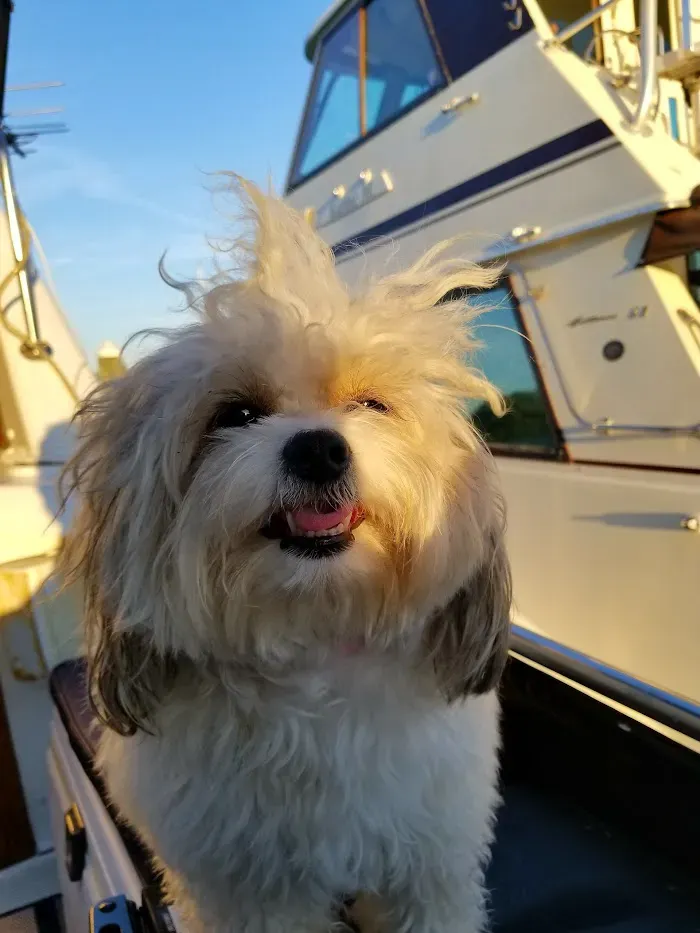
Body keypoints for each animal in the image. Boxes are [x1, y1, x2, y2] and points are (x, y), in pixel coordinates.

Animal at [61, 178, 512, 933]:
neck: (313, 643)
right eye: (236, 414)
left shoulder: (429, 859)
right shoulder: (255, 893)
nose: (319, 448)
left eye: (371, 404)